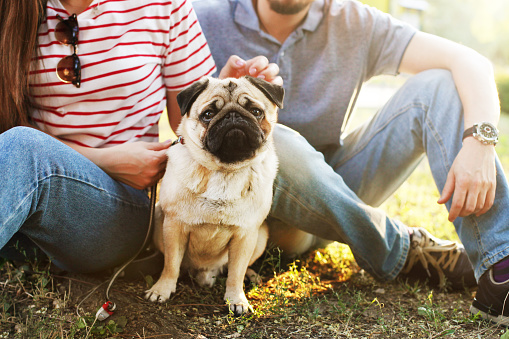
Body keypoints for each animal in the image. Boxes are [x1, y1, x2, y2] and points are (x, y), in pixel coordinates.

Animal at [145, 76, 284, 316]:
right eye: (208, 114)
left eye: (256, 111)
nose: (233, 116)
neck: (224, 171)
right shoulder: (174, 226)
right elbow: (171, 264)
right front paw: (162, 289)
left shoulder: (246, 234)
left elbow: (236, 272)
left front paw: (236, 299)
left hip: (261, 236)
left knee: (239, 267)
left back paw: (251, 275)